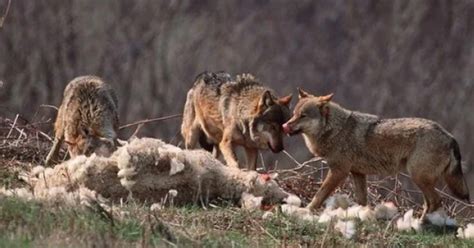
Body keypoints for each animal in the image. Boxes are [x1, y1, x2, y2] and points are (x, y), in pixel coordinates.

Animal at [282, 88, 470, 220]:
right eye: (294, 114)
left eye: (303, 116)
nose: (284, 126)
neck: (335, 130)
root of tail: (450, 137)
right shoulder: (357, 173)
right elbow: (362, 201)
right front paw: (362, 216)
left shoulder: (338, 172)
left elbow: (319, 195)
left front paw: (305, 211)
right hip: (421, 180)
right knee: (430, 203)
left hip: (418, 177)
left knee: (435, 201)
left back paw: (422, 225)